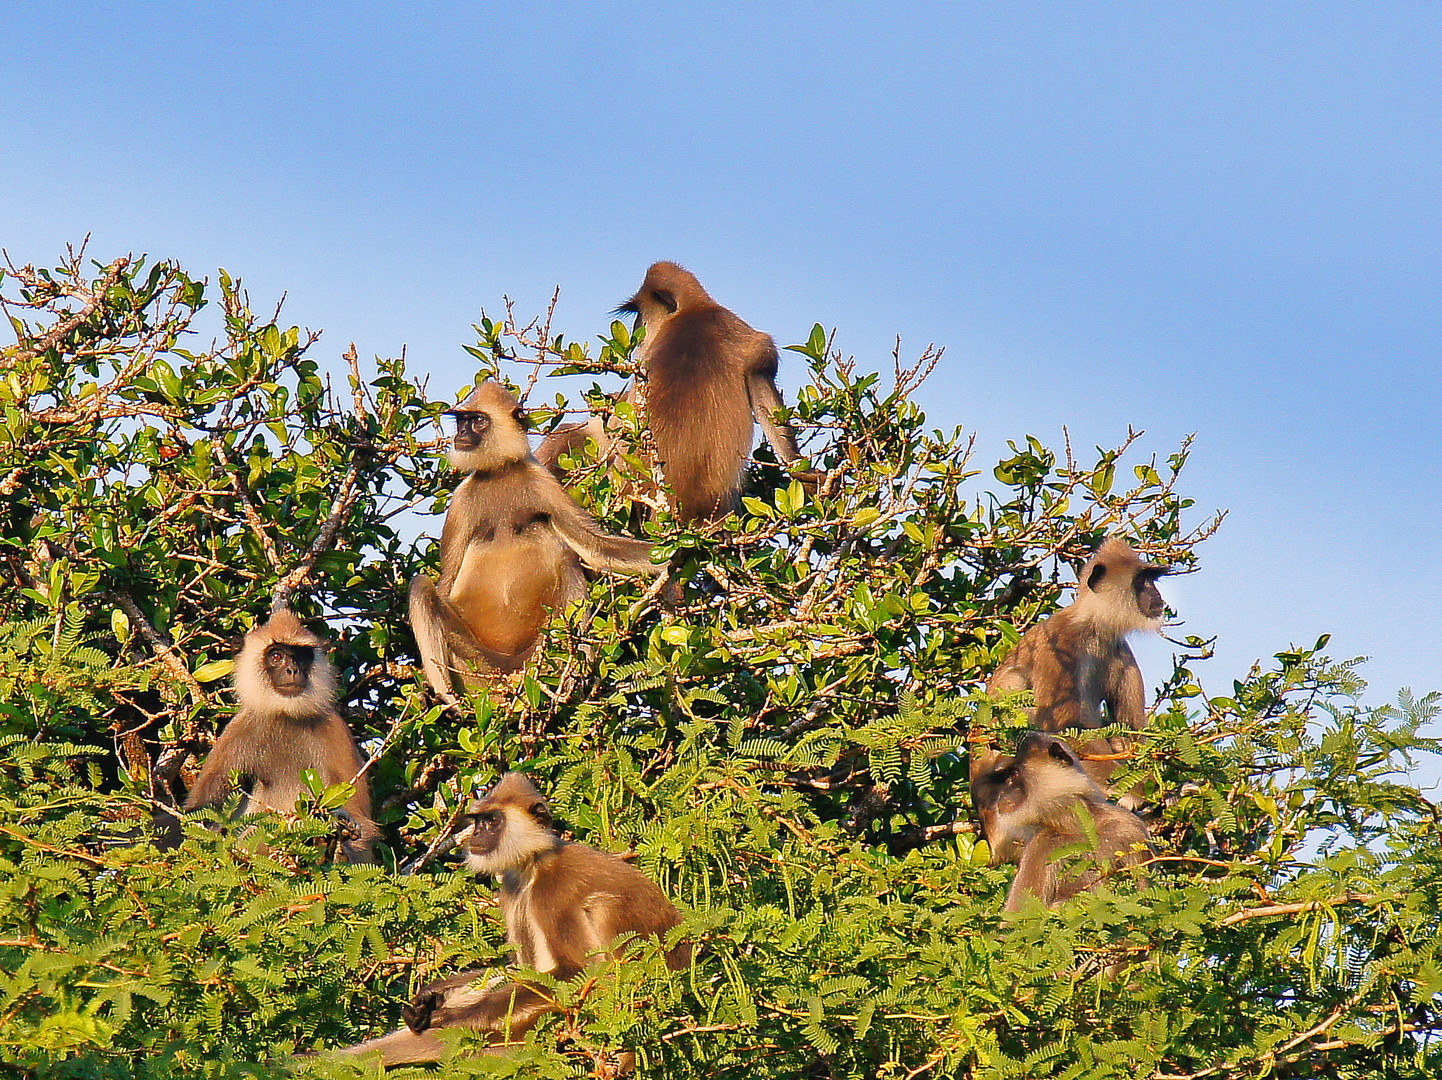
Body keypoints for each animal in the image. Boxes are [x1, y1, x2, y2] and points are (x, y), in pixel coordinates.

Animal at [183, 611, 377, 865]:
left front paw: (341, 831)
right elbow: (200, 811)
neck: (285, 714)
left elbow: (363, 825)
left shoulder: (335, 729)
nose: (293, 670)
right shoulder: (239, 730)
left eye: (302, 657)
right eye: (276, 655)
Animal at [330, 772, 686, 1067]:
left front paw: (453, 1016)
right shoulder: (513, 885)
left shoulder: (553, 889)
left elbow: (576, 971)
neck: (536, 863)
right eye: (478, 821)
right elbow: (519, 969)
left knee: (601, 908)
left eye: (492, 821)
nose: (475, 835)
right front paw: (434, 995)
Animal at [406, 377, 663, 695]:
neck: (500, 471)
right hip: (475, 663)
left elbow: (597, 547)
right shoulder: (462, 500)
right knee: (422, 587)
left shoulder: (540, 480)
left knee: (568, 561)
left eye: (477, 421)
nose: (461, 435)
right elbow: (445, 585)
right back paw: (451, 700)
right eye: (462, 422)